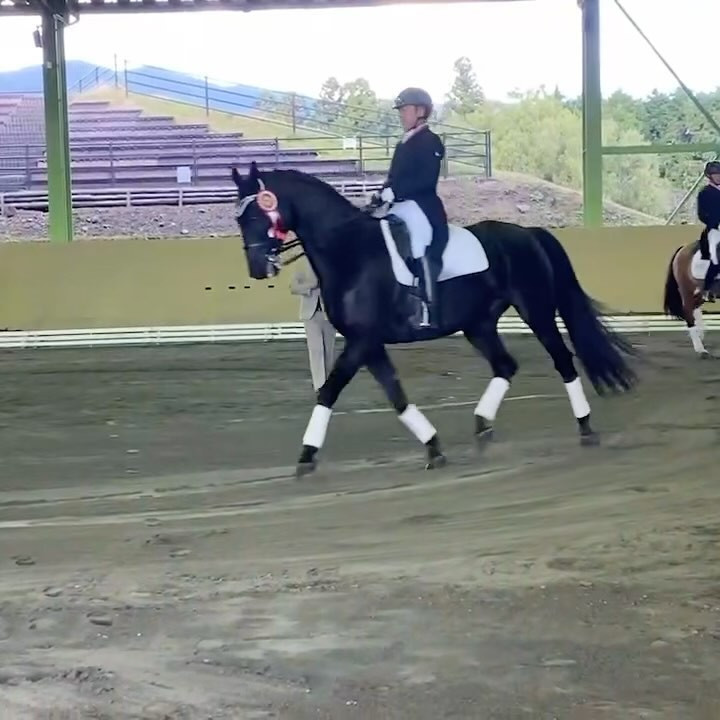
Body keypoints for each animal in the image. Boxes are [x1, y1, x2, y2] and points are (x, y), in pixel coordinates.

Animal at [231, 164, 636, 478]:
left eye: (254, 215)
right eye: (239, 217)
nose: (258, 269)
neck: (348, 250)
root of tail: (528, 233)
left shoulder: (361, 340)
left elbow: (329, 391)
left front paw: (305, 456)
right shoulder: (369, 343)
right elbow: (396, 396)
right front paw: (433, 447)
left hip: (535, 311)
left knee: (563, 360)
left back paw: (586, 429)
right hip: (478, 324)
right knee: (505, 365)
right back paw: (482, 426)